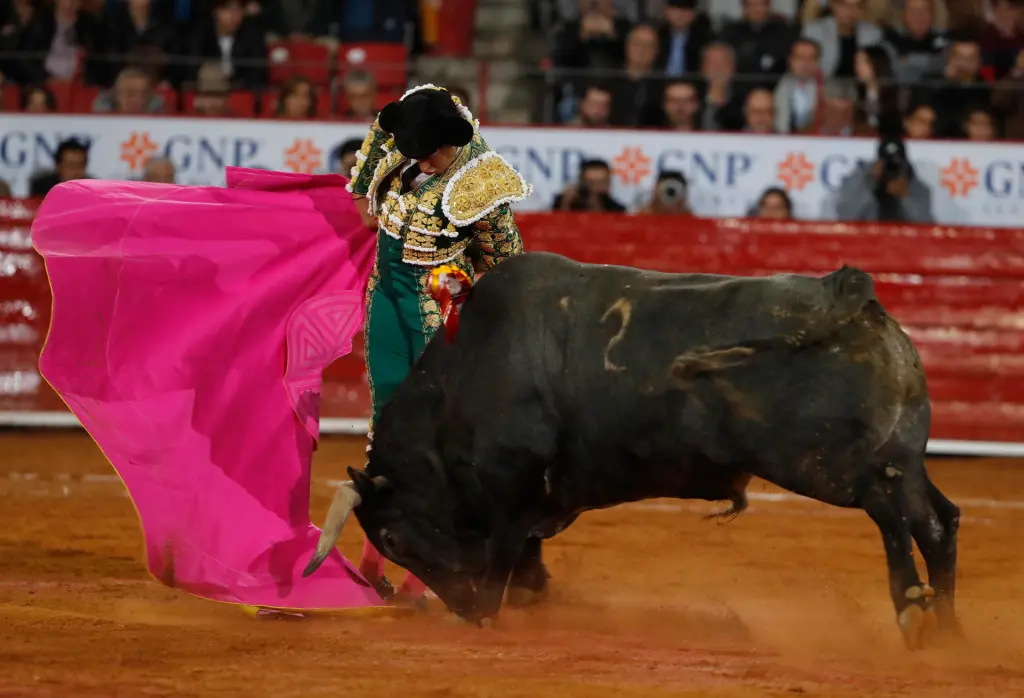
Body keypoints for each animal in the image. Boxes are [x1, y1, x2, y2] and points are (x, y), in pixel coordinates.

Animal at [301, 249, 958, 646]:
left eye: (391, 538)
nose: (459, 607)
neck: (468, 372)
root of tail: (849, 294)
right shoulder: (540, 496)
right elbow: (528, 557)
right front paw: (532, 603)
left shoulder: (510, 483)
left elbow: (503, 552)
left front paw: (490, 612)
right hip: (898, 455)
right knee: (936, 520)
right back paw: (945, 625)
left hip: (823, 463)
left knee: (892, 515)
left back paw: (911, 609)